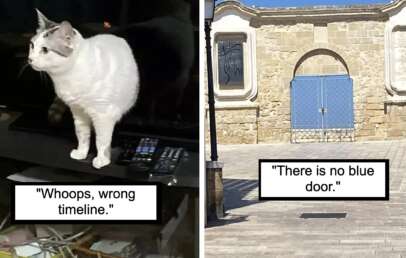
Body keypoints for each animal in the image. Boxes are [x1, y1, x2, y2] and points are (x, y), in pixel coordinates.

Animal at [28, 9, 140, 169]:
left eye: (45, 50)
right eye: (32, 45)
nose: (30, 59)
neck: (68, 76)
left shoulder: (103, 115)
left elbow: (102, 141)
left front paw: (102, 160)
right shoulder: (78, 111)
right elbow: (82, 135)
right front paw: (81, 153)